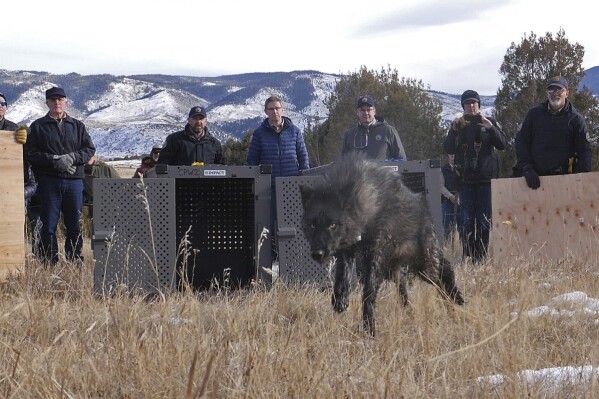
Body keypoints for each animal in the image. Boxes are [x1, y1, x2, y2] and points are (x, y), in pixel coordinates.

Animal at [300, 155, 464, 336]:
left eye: (332, 225)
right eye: (312, 225)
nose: (317, 253)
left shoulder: (374, 259)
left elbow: (368, 293)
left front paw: (368, 328)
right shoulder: (347, 252)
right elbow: (342, 276)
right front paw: (340, 299)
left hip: (424, 267)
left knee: (444, 273)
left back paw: (455, 301)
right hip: (395, 271)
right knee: (404, 286)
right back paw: (410, 311)